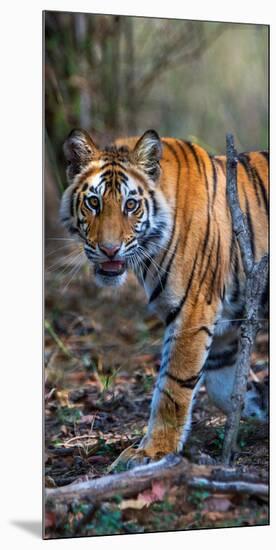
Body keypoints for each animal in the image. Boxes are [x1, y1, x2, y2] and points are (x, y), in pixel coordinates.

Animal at [61, 130, 270, 470]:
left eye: (131, 205)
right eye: (93, 202)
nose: (109, 250)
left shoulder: (193, 312)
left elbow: (172, 387)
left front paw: (152, 452)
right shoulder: (225, 323)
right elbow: (224, 388)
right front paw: (259, 403)